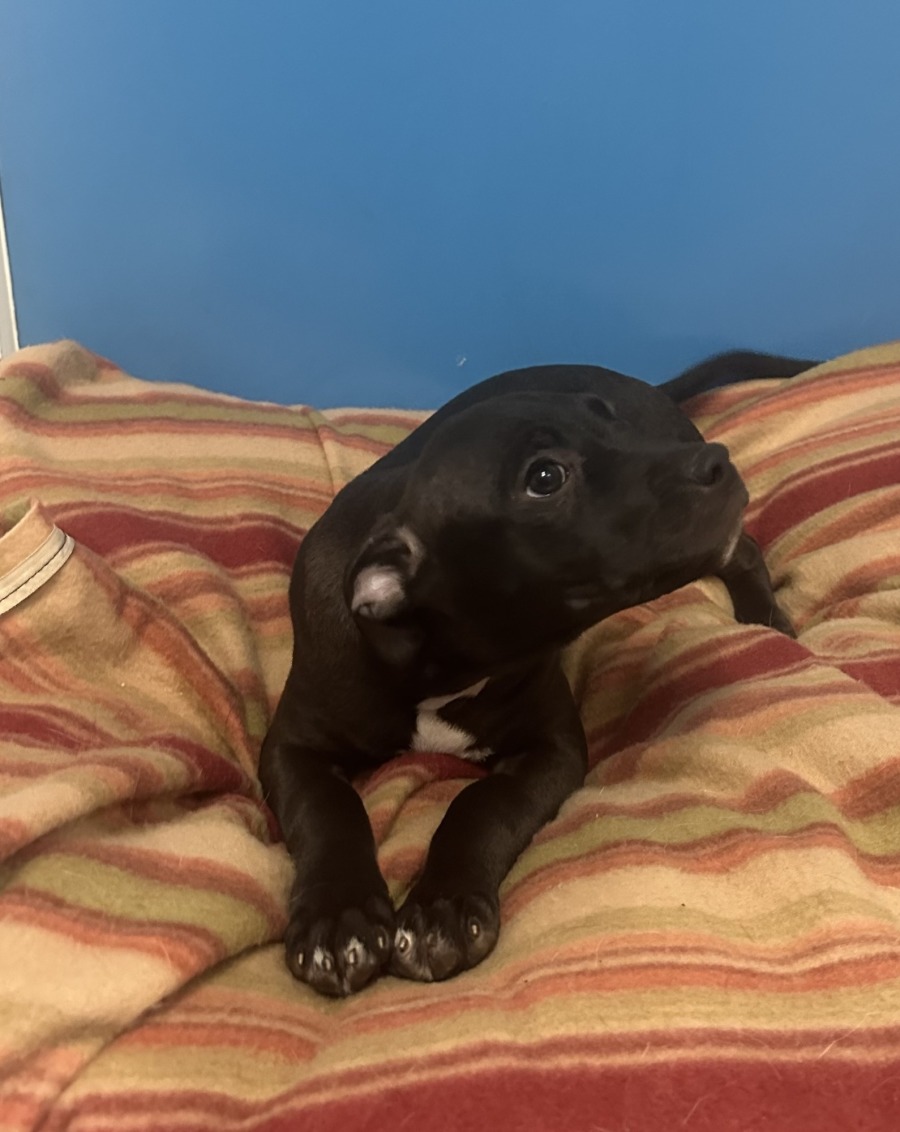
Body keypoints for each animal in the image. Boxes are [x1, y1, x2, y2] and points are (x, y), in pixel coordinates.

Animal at [259, 351, 816, 997]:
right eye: (545, 477)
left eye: (609, 420)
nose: (718, 462)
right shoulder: (291, 747)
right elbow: (329, 811)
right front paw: (338, 918)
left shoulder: (551, 748)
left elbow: (482, 805)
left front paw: (442, 910)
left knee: (744, 550)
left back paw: (764, 615)